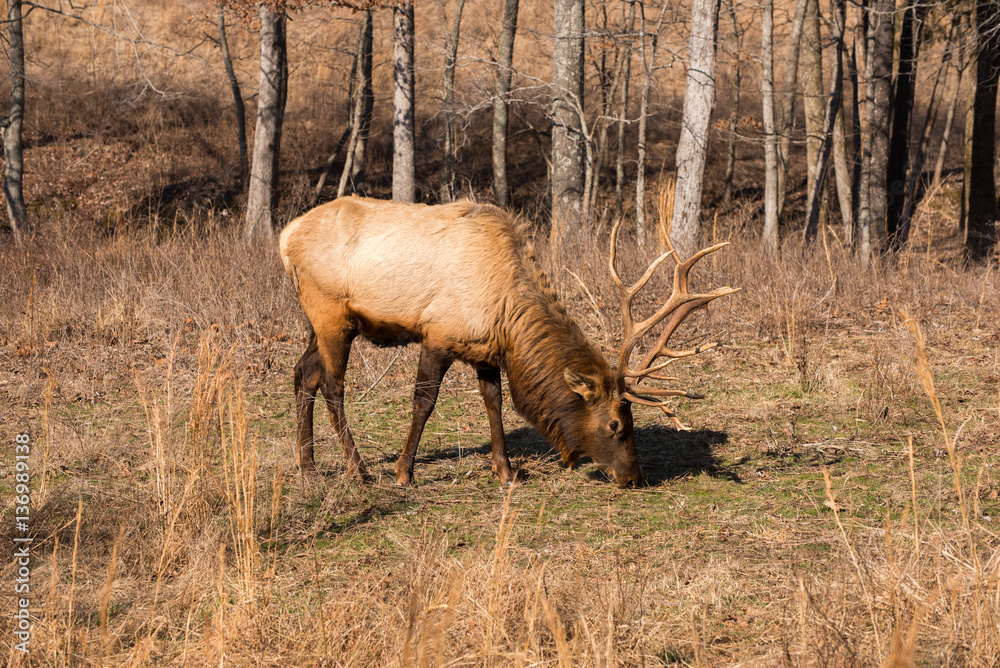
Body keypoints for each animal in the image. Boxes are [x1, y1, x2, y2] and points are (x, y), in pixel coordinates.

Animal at [278, 196, 736, 487]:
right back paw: (358, 470)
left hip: (316, 320)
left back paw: (308, 466)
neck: (508, 314)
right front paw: (404, 472)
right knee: (332, 385)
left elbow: (494, 402)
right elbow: (424, 402)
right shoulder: (438, 333)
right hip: (331, 313)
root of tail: (285, 238)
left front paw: (507, 471)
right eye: (616, 424)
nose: (634, 477)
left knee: (303, 372)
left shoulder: (483, 349)